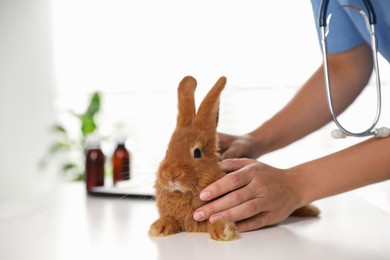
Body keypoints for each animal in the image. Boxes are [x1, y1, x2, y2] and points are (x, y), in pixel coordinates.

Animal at [149, 75, 320, 242]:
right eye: (167, 149)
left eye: (197, 152)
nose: (172, 174)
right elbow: (171, 219)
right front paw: (159, 228)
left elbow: (215, 221)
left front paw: (224, 232)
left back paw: (313, 210)